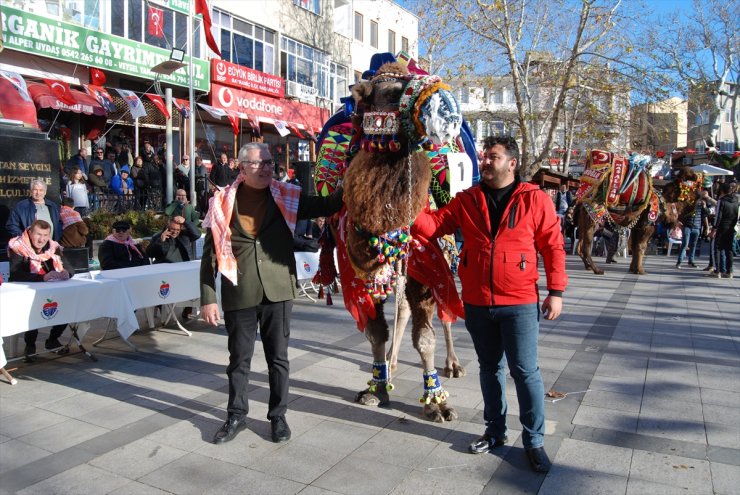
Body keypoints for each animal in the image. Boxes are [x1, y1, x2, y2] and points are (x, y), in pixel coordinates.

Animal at [310, 58, 474, 422]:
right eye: (390, 91)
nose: (449, 109)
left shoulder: (426, 262)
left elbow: (425, 337)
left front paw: (437, 402)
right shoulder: (359, 269)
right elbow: (376, 331)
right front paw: (376, 387)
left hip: (445, 250)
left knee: (444, 312)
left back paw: (453, 364)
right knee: (402, 309)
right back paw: (392, 364)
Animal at [576, 151, 704, 276]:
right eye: (690, 194)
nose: (699, 193)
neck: (664, 204)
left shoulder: (636, 226)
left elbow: (634, 246)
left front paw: (633, 269)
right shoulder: (648, 225)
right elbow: (641, 246)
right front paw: (641, 270)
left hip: (583, 223)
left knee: (580, 246)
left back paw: (589, 267)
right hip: (593, 221)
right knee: (586, 247)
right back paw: (597, 270)